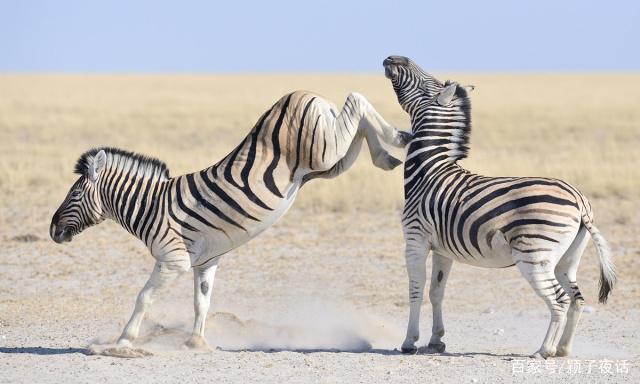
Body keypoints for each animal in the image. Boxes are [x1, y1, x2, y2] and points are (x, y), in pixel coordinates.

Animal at [48, 89, 410, 348]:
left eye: (74, 194)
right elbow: (202, 302)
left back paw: (395, 139)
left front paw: (123, 340)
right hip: (329, 162)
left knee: (356, 100)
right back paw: (389, 151)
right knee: (357, 123)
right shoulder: (205, 262)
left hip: (323, 150)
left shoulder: (173, 260)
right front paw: (196, 342)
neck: (151, 206)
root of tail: (303, 93)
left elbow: (144, 297)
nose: (52, 230)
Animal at [382, 55, 616, 358]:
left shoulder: (415, 239)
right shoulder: (442, 249)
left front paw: (409, 342)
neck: (428, 170)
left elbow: (416, 290)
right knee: (576, 298)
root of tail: (578, 200)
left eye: (426, 84)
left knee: (560, 300)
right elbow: (437, 292)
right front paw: (436, 340)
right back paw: (563, 349)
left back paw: (544, 350)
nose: (393, 58)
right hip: (567, 259)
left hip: (533, 256)